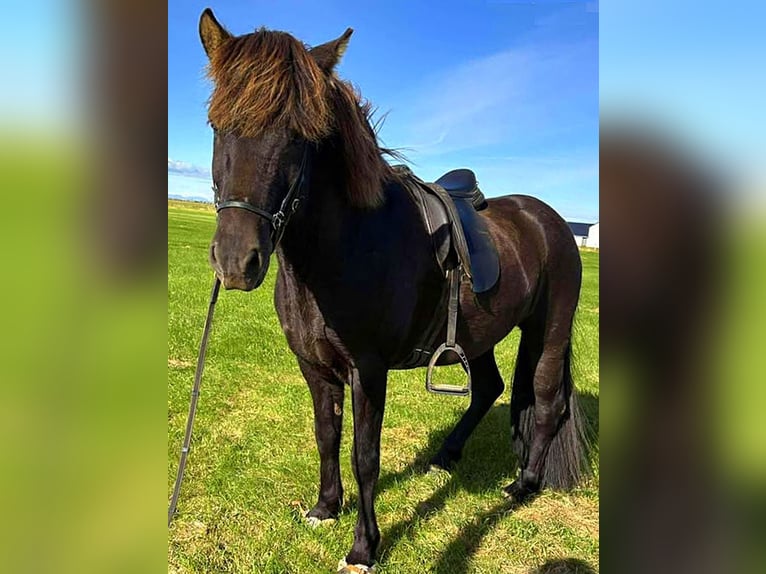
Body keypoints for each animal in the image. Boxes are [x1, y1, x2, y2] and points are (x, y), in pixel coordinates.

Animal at [198, 8, 590, 573]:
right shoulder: (314, 366)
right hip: (478, 336)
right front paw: (325, 507)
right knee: (489, 389)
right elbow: (326, 437)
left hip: (549, 331)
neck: (342, 250)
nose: (236, 261)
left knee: (545, 402)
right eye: (217, 124)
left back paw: (524, 484)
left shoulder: (369, 370)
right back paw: (446, 457)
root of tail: (549, 219)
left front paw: (364, 546)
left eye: (298, 136)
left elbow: (365, 456)